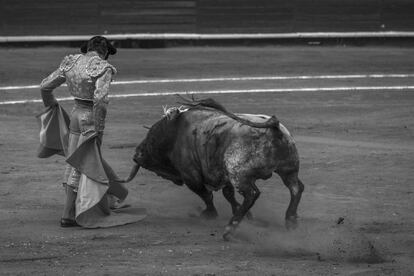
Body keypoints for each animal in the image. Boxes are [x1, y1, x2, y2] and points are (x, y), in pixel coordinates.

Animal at [123, 97, 304, 239]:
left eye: (151, 138)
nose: (136, 154)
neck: (175, 133)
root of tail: (274, 127)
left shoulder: (191, 176)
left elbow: (206, 195)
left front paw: (209, 214)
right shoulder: (222, 175)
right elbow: (227, 194)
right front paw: (247, 215)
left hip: (238, 174)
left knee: (252, 194)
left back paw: (230, 229)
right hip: (288, 169)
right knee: (296, 188)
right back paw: (291, 220)